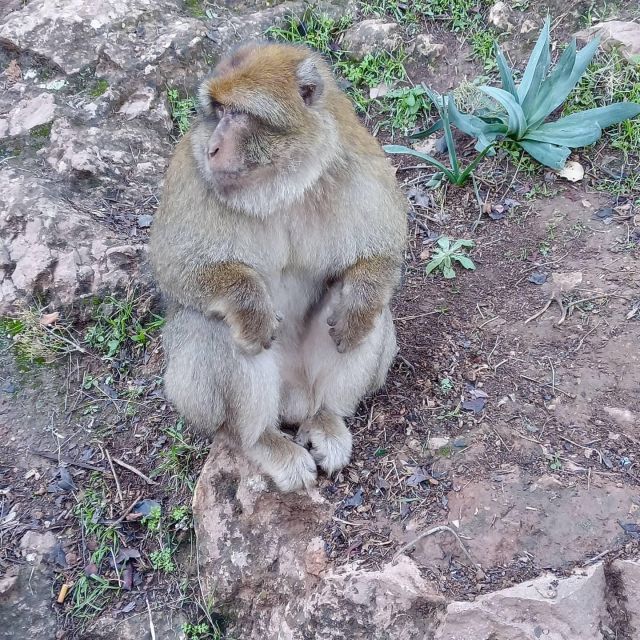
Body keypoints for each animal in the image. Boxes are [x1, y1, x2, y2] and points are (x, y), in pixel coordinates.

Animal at [150, 41, 404, 490]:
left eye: (239, 113)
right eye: (217, 111)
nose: (213, 147)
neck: (282, 180)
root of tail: (296, 401)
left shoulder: (356, 158)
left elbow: (383, 249)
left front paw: (358, 305)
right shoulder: (190, 172)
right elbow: (175, 266)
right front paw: (249, 306)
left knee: (367, 312)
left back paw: (328, 417)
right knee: (215, 326)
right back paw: (262, 441)